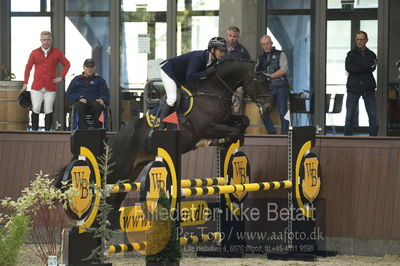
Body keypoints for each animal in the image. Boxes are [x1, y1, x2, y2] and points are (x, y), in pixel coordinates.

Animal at [58, 58, 272, 210]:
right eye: (260, 81)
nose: (268, 107)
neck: (213, 90)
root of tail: (110, 143)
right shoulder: (206, 126)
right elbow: (232, 130)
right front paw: (220, 140)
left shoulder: (226, 120)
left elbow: (243, 122)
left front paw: (227, 139)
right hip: (116, 173)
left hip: (129, 176)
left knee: (113, 204)